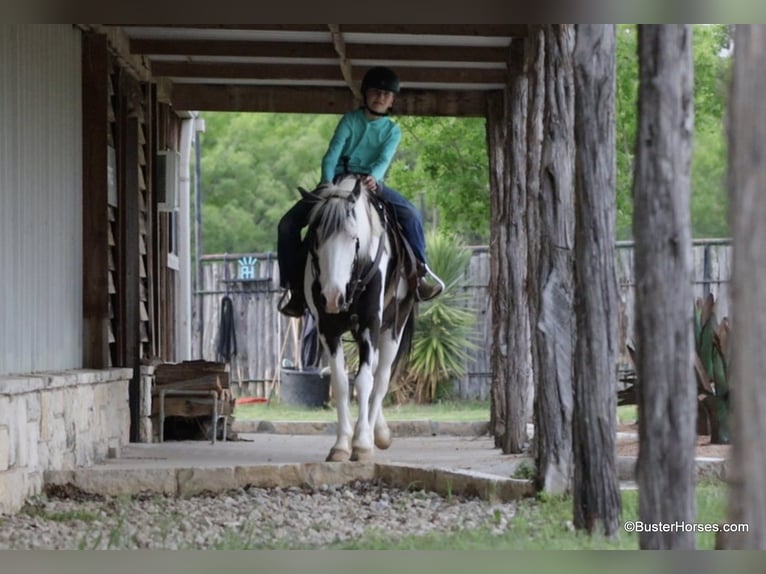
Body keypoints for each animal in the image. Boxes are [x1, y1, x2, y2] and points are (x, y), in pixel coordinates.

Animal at [299, 174, 416, 462]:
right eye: (315, 239)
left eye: (354, 238)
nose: (332, 296)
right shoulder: (328, 330)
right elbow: (341, 383)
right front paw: (341, 445)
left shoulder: (370, 325)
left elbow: (364, 382)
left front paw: (362, 444)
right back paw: (380, 431)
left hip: (394, 326)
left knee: (381, 377)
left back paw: (377, 435)